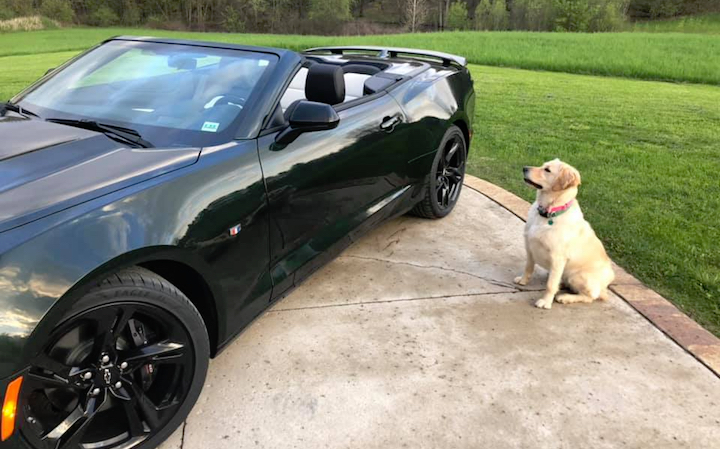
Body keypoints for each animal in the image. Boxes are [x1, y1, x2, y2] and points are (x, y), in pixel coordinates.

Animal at [516, 158, 616, 308]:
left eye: (547, 170)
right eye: (542, 165)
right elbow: (528, 267)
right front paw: (523, 281)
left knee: (590, 296)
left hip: (579, 276)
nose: (524, 168)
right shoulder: (529, 246)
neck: (549, 213)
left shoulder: (558, 257)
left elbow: (550, 285)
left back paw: (566, 297)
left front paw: (546, 302)